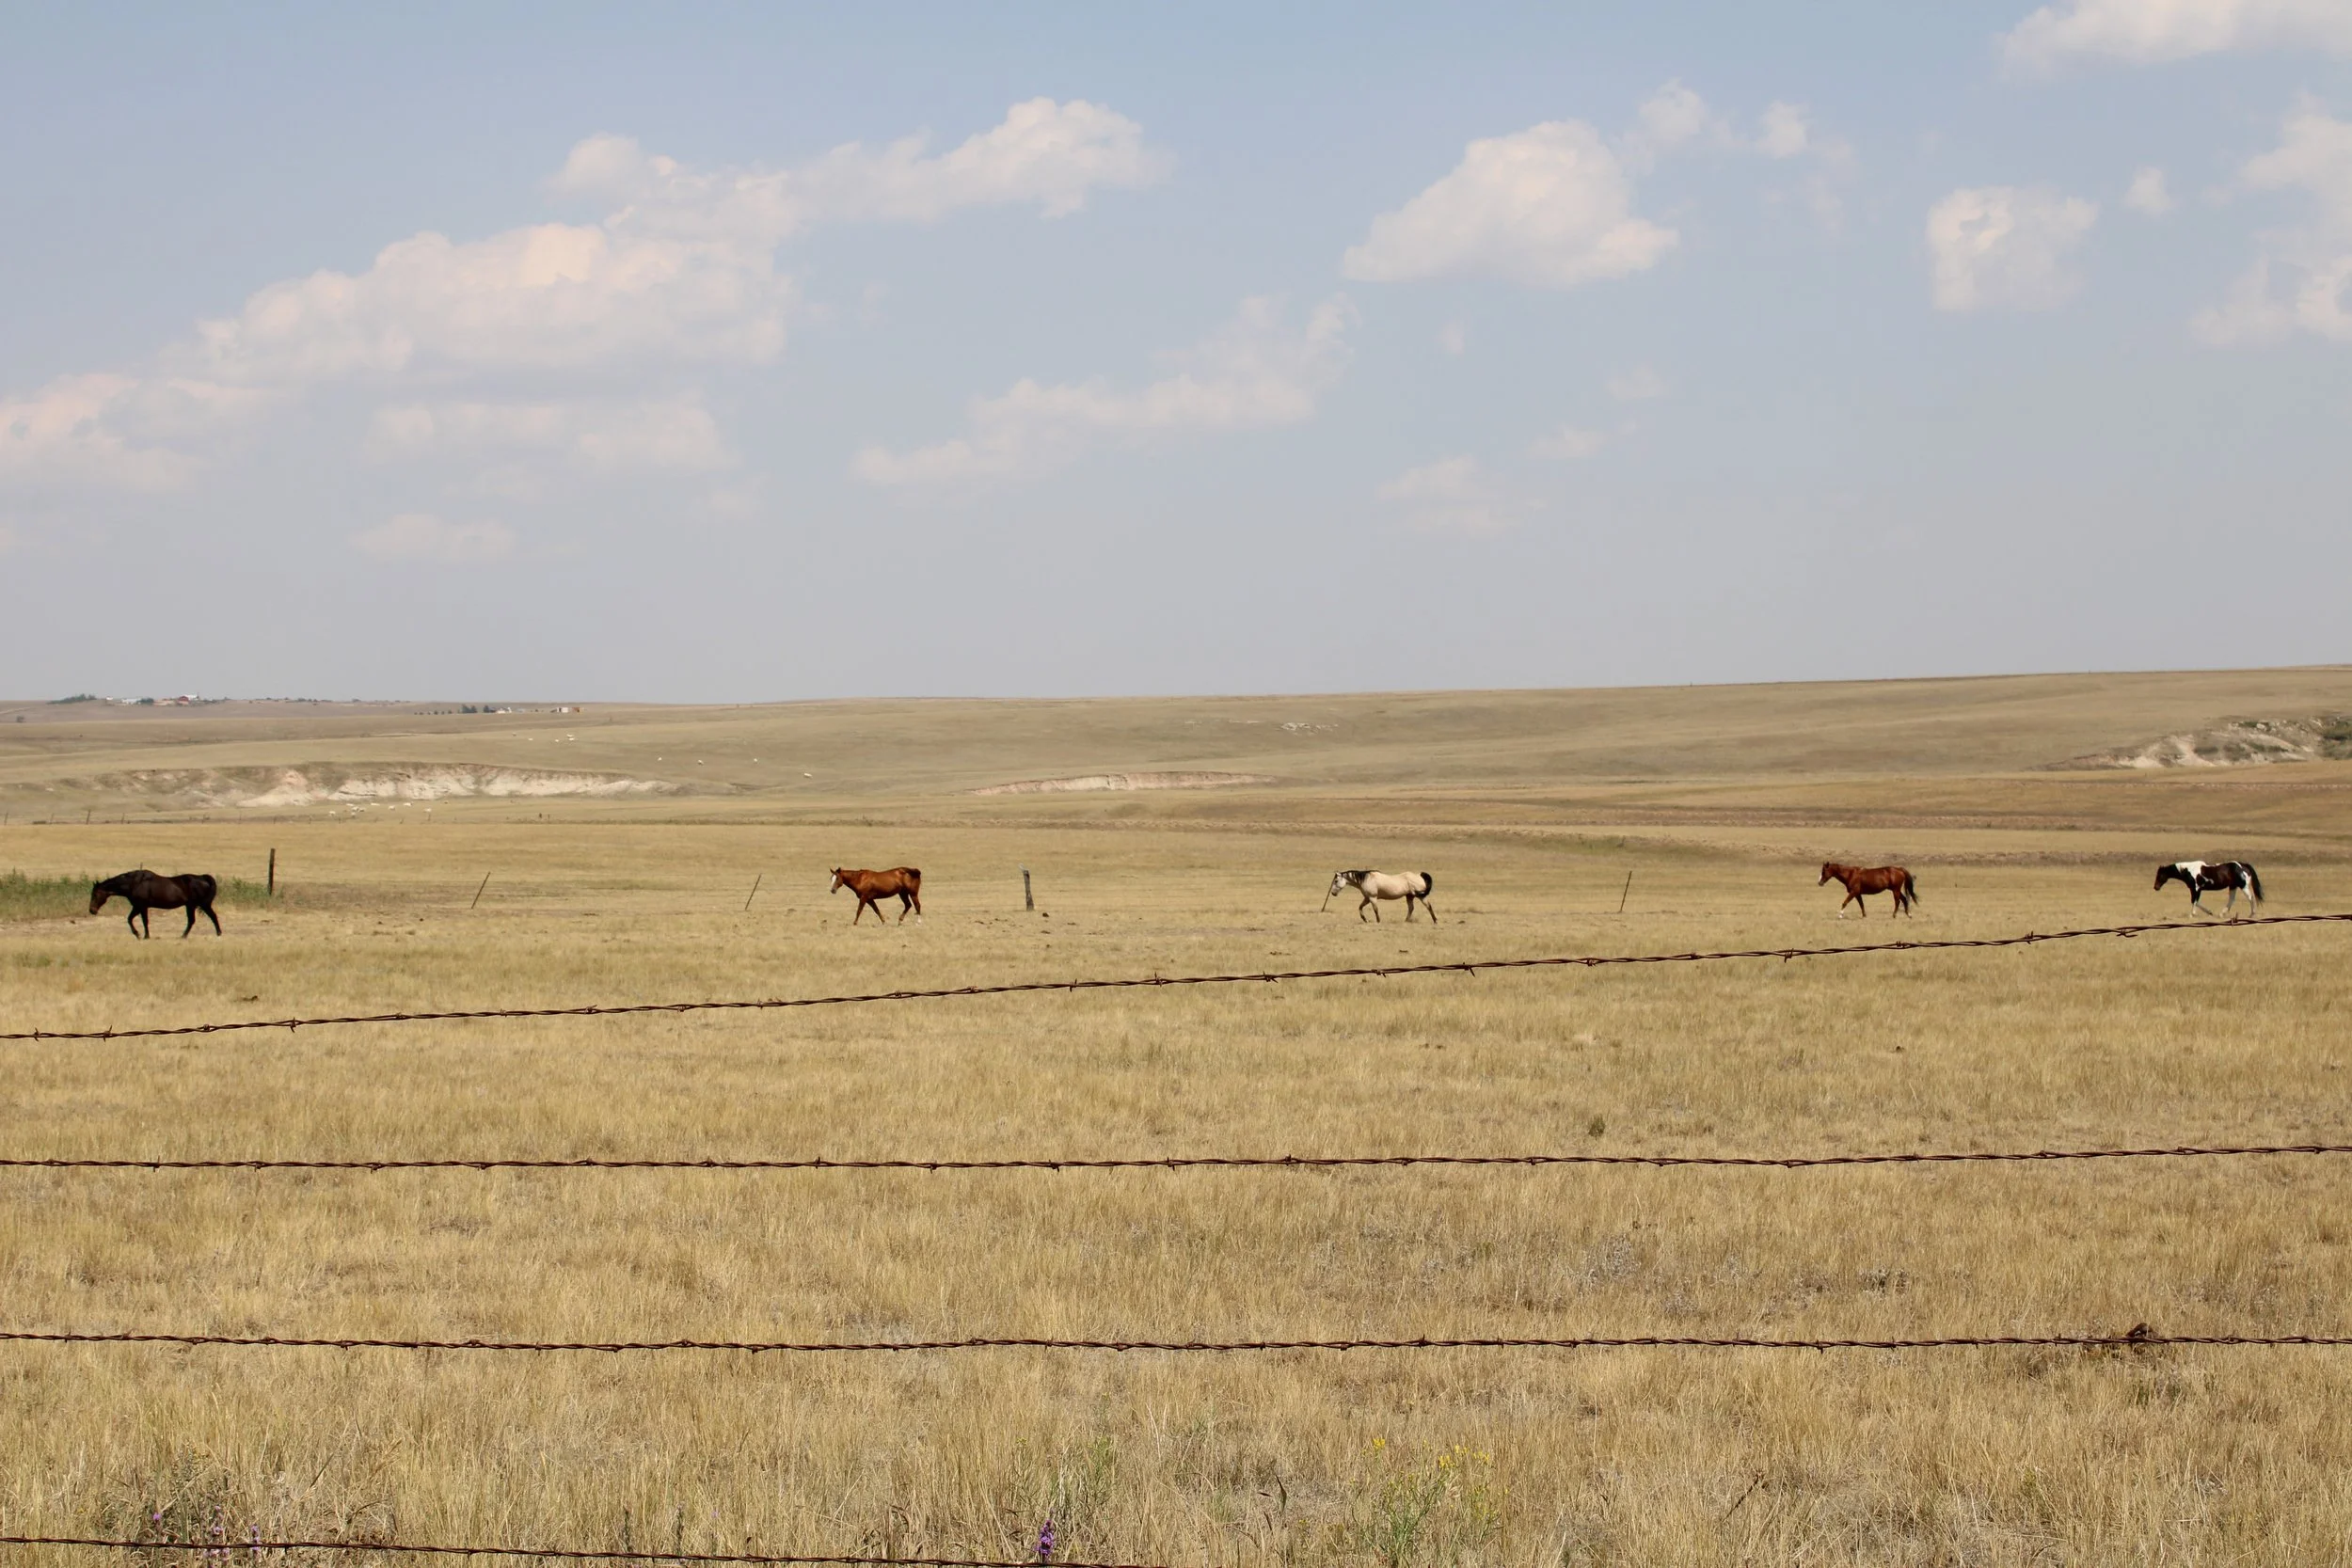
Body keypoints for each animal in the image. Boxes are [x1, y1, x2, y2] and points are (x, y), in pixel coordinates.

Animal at [89, 870, 220, 938]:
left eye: (95, 894)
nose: (92, 910)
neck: (134, 883)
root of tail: (202, 878)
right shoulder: (137, 906)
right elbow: (130, 919)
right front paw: (137, 934)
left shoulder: (142, 906)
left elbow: (144, 921)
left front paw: (145, 936)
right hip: (191, 905)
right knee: (193, 920)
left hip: (200, 904)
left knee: (211, 917)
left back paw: (218, 933)